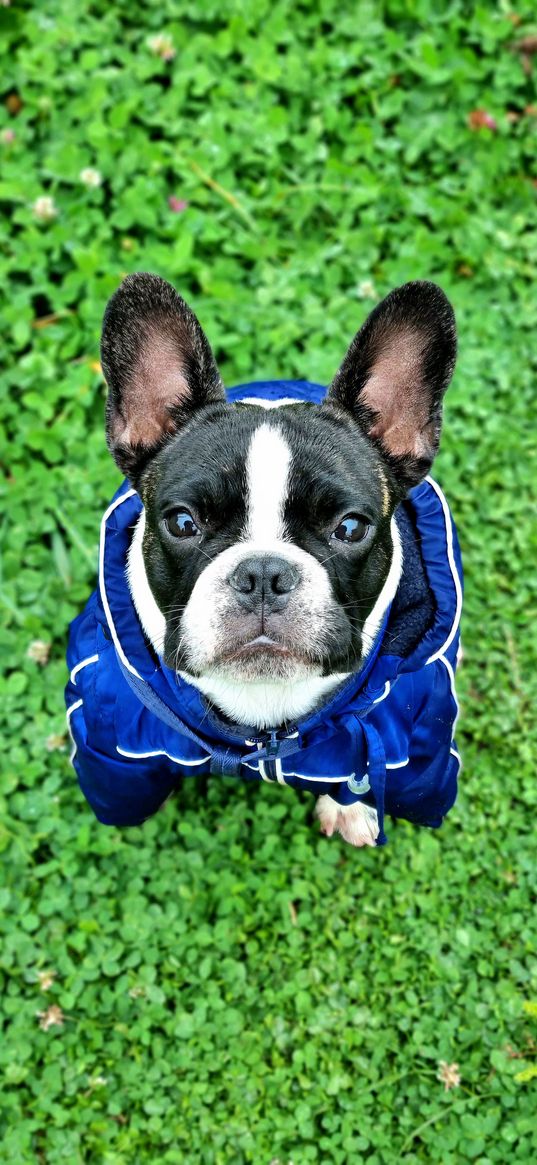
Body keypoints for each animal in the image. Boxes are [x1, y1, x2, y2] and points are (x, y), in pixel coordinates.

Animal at [65, 277, 461, 852]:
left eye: (350, 528)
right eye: (182, 522)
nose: (263, 575)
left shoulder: (410, 739)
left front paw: (349, 805)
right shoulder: (109, 734)